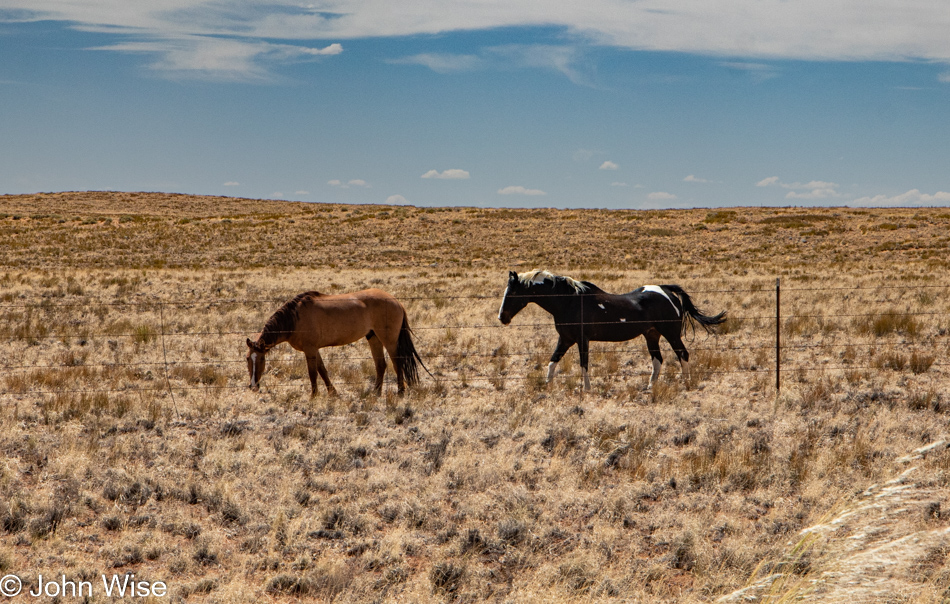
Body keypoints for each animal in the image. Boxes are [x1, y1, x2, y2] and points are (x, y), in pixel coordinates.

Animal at [247, 290, 426, 396]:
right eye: (248, 359)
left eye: (261, 359)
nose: (253, 386)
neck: (294, 318)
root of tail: (396, 301)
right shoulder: (314, 350)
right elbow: (322, 370)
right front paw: (333, 393)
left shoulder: (310, 349)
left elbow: (313, 373)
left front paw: (314, 396)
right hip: (373, 337)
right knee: (381, 365)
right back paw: (375, 393)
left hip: (389, 340)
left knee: (397, 363)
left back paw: (400, 391)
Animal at [498, 270, 728, 392]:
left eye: (512, 293)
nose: (502, 317)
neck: (569, 301)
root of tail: (666, 290)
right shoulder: (565, 339)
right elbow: (552, 362)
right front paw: (547, 386)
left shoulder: (582, 339)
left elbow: (583, 363)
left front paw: (587, 389)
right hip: (651, 334)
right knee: (658, 360)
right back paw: (649, 387)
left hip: (671, 333)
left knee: (682, 354)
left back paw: (686, 384)